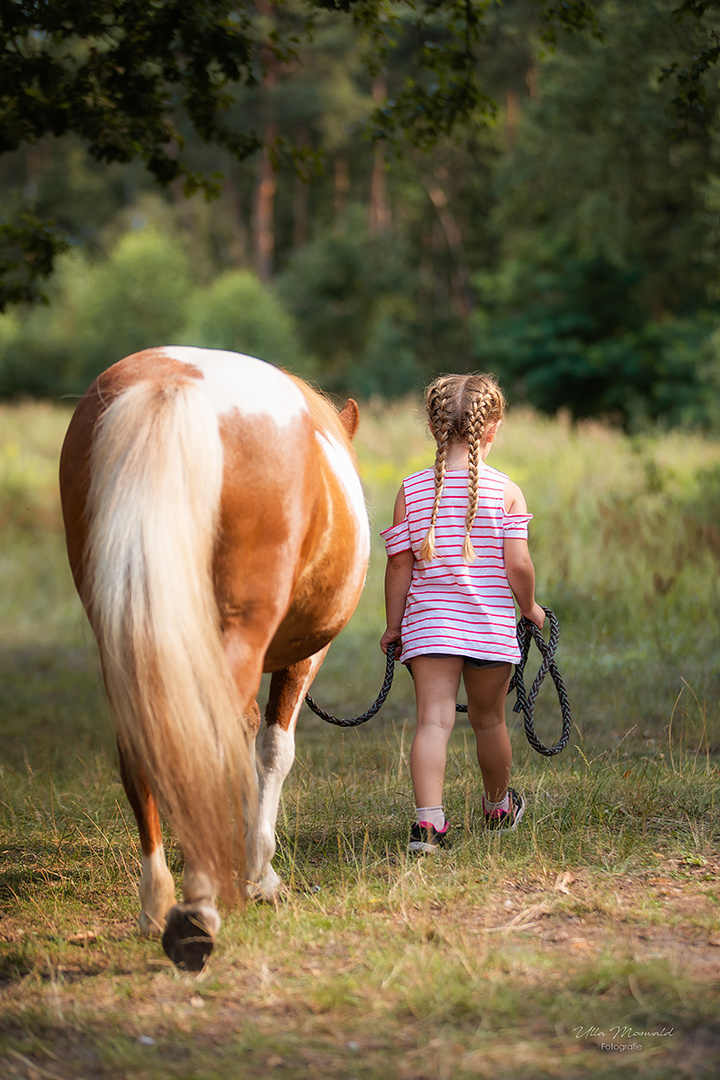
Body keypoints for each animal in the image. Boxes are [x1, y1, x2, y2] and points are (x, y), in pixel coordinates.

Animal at [58, 345, 369, 972]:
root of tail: (174, 383)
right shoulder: (305, 656)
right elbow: (272, 748)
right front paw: (260, 874)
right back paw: (199, 908)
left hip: (126, 633)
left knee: (145, 739)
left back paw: (157, 901)